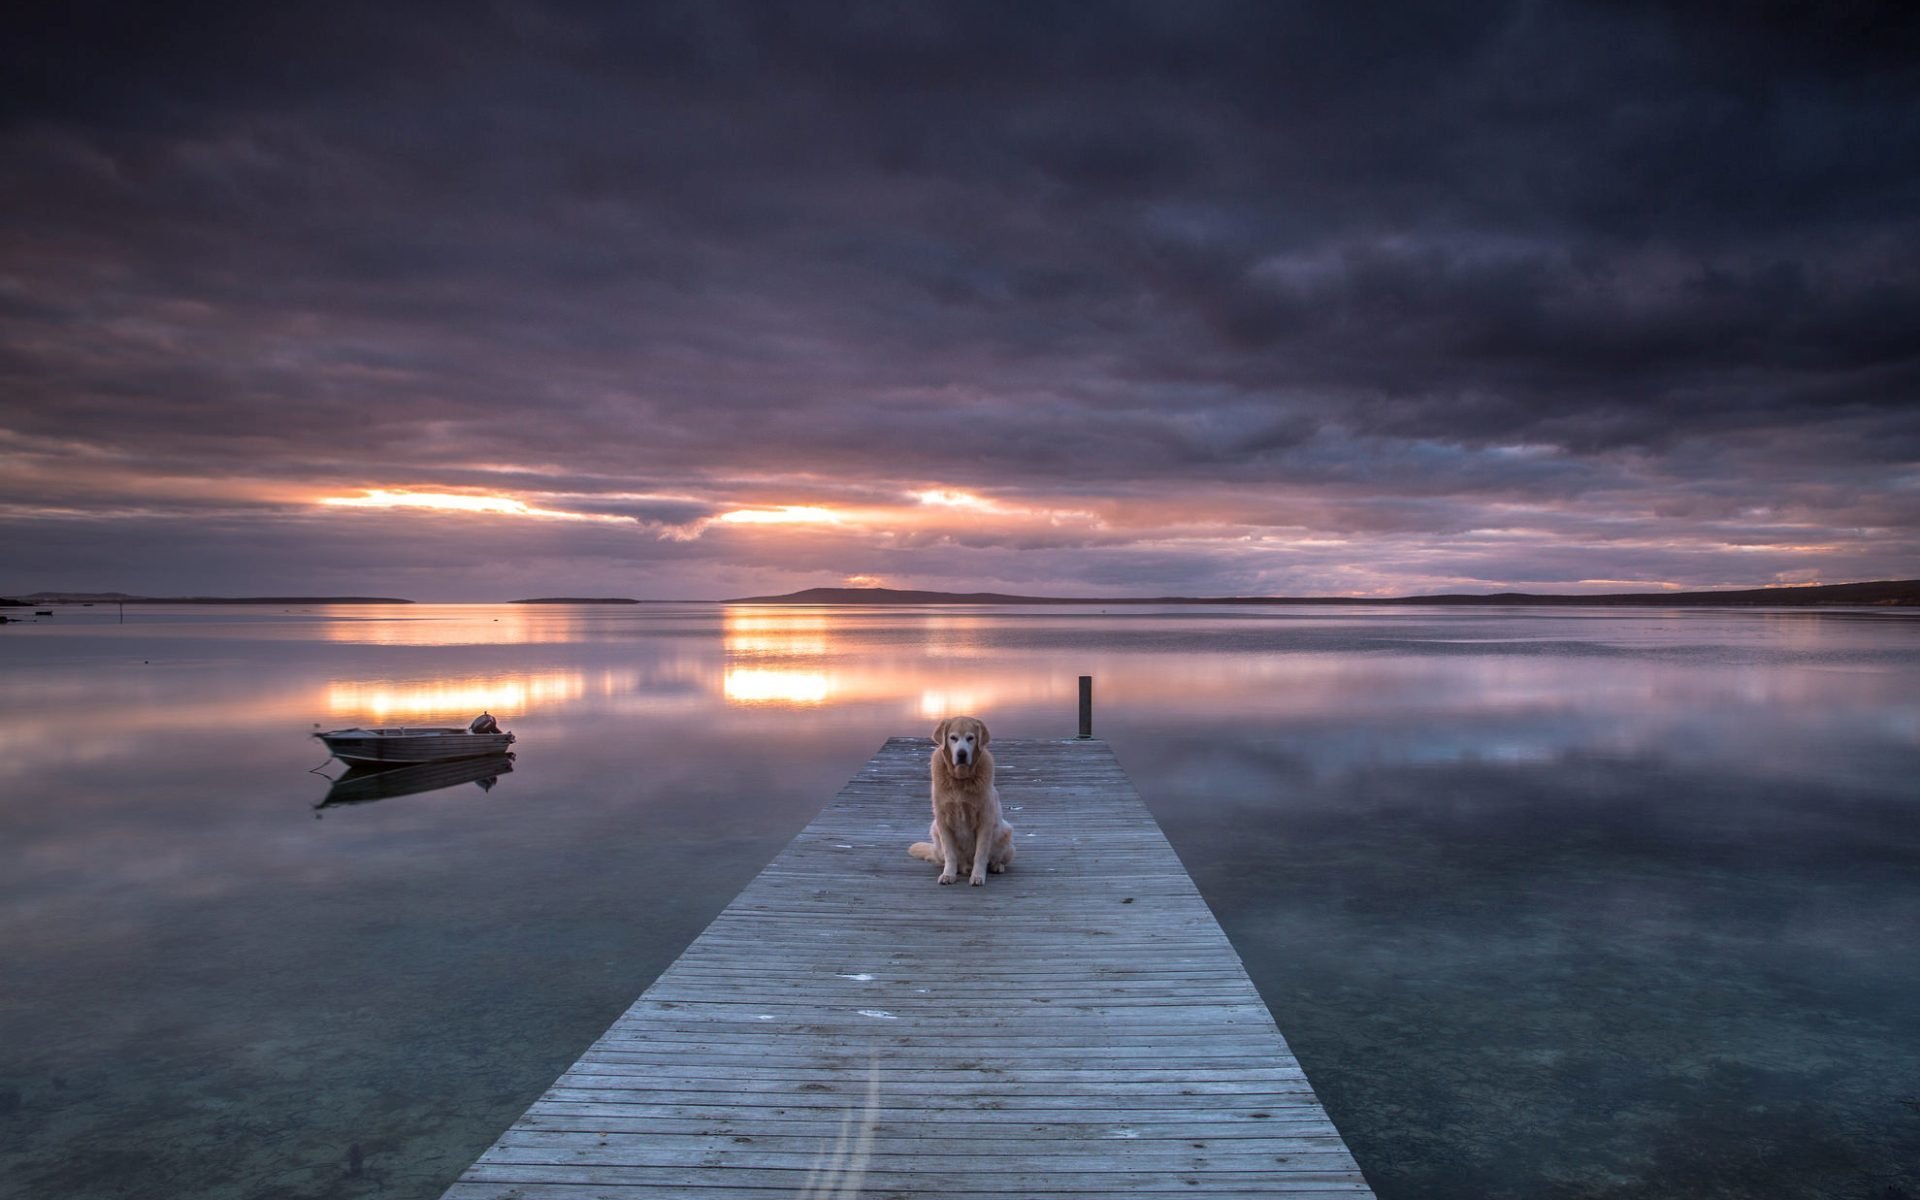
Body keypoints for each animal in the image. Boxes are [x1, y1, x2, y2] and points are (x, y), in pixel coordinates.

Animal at [906, 714, 1013, 883]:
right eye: (953, 738)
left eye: (970, 738)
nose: (962, 754)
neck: (960, 780)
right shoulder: (942, 820)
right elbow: (950, 854)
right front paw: (948, 875)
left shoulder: (985, 820)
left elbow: (980, 854)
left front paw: (977, 876)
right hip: (934, 829)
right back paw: (962, 868)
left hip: (1006, 832)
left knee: (996, 858)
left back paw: (996, 866)